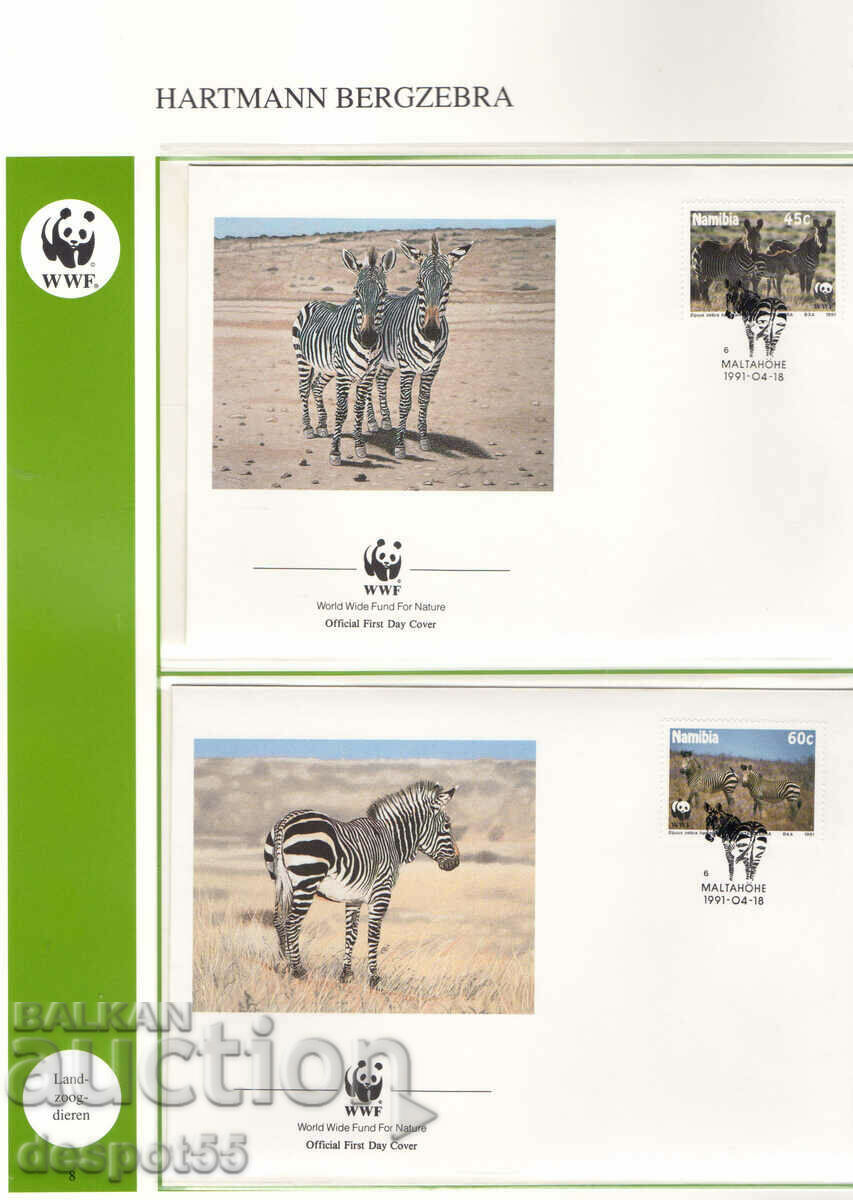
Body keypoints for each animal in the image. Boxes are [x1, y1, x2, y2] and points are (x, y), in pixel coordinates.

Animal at [264, 780, 459, 988]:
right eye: (447, 826)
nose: (456, 862)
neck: (392, 840)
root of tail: (285, 820)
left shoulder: (354, 898)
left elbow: (352, 934)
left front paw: (346, 975)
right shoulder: (381, 892)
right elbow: (373, 935)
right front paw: (374, 978)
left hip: (279, 881)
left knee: (278, 920)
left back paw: (283, 964)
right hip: (307, 880)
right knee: (292, 922)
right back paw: (298, 970)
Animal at [291, 246, 396, 466]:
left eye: (384, 293)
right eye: (356, 293)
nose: (368, 338)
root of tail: (314, 301)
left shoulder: (367, 375)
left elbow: (358, 408)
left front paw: (360, 446)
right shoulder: (344, 375)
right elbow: (341, 411)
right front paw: (335, 452)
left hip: (327, 367)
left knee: (316, 386)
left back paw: (322, 426)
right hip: (303, 359)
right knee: (304, 389)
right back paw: (308, 428)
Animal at [364, 234, 473, 459]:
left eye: (448, 284)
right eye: (419, 283)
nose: (431, 331)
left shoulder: (433, 367)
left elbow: (424, 399)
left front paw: (423, 439)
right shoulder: (407, 367)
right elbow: (405, 403)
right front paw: (400, 445)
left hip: (388, 360)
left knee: (380, 380)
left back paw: (385, 421)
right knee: (369, 384)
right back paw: (372, 423)